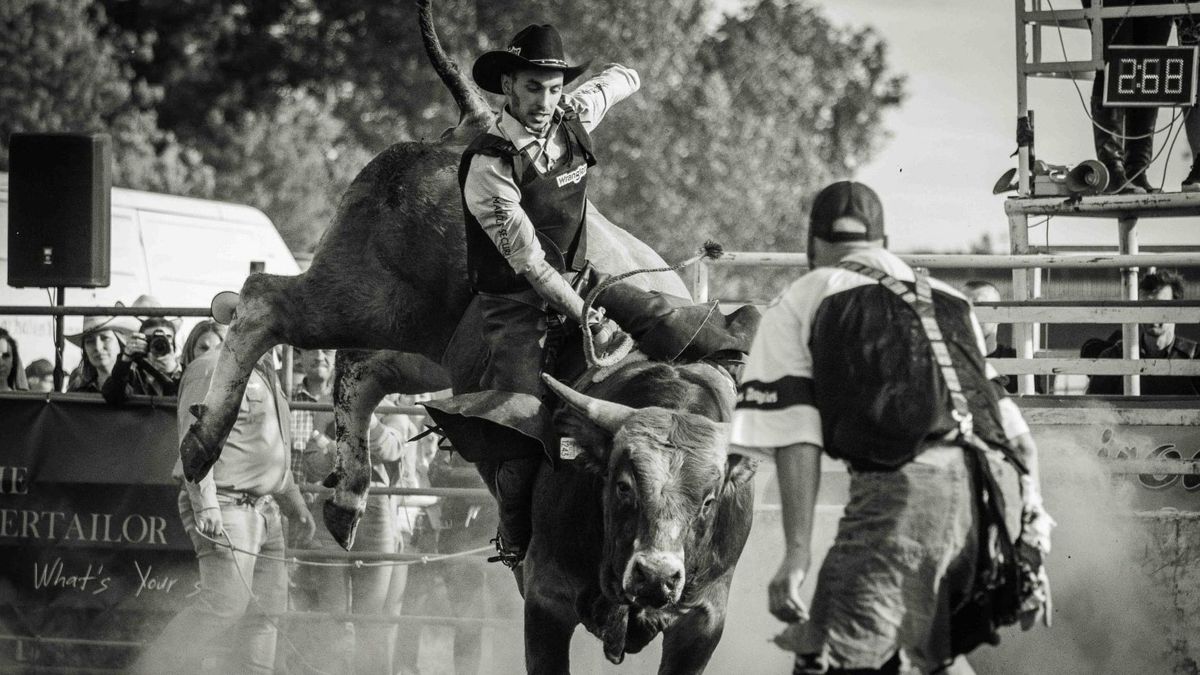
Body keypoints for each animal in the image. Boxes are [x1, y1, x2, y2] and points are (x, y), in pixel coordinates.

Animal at [177, 2, 758, 667]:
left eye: (710, 497)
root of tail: (470, 123)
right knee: (262, 301)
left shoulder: (702, 622)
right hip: (365, 296)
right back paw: (202, 443)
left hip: (427, 349)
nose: (657, 576)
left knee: (360, 369)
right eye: (623, 485)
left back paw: (348, 494)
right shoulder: (548, 599)